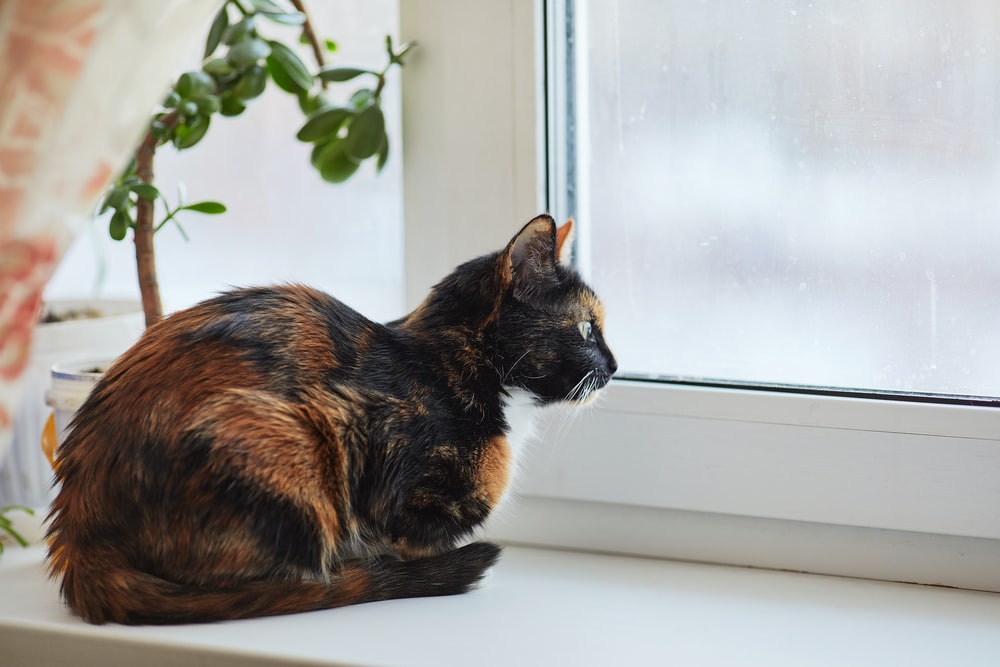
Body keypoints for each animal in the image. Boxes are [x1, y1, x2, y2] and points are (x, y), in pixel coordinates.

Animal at [47, 215, 616, 628]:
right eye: (588, 328)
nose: (614, 366)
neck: (455, 367)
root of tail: (78, 537)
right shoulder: (400, 483)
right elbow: (408, 537)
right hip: (276, 440)